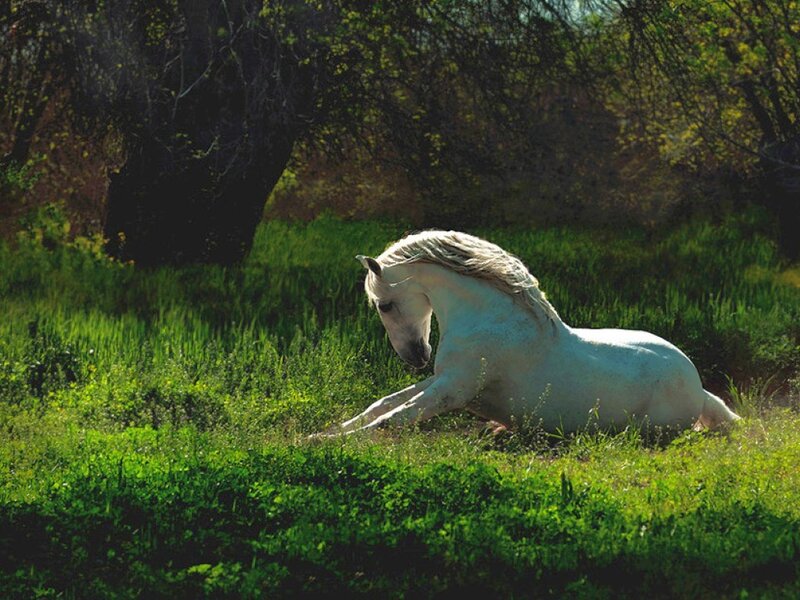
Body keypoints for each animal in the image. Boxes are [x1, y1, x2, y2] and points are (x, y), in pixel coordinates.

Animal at [316, 230, 740, 437]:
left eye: (383, 305)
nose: (416, 357)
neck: (492, 319)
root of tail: (698, 386)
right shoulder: (442, 379)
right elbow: (382, 405)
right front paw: (328, 430)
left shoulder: (454, 388)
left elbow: (394, 419)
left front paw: (326, 442)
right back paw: (497, 428)